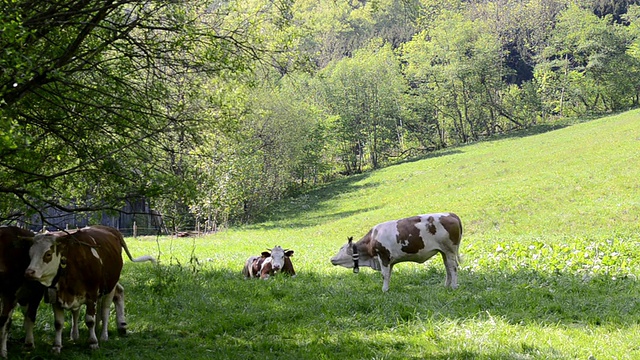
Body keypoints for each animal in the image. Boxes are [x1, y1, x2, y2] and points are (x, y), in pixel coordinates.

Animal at [24, 225, 155, 352]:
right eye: (30, 254)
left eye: (48, 254)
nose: (29, 272)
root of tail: (110, 229)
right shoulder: (57, 298)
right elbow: (58, 323)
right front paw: (56, 346)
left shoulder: (92, 295)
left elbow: (89, 320)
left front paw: (93, 342)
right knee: (115, 295)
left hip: (110, 285)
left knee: (106, 308)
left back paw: (105, 335)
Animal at [332, 212, 462, 292]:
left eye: (341, 248)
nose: (332, 259)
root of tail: (451, 214)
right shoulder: (389, 261)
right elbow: (388, 275)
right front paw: (387, 288)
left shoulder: (383, 256)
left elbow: (384, 275)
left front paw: (384, 290)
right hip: (444, 251)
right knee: (447, 267)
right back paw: (446, 285)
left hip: (449, 250)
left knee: (453, 267)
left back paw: (454, 286)